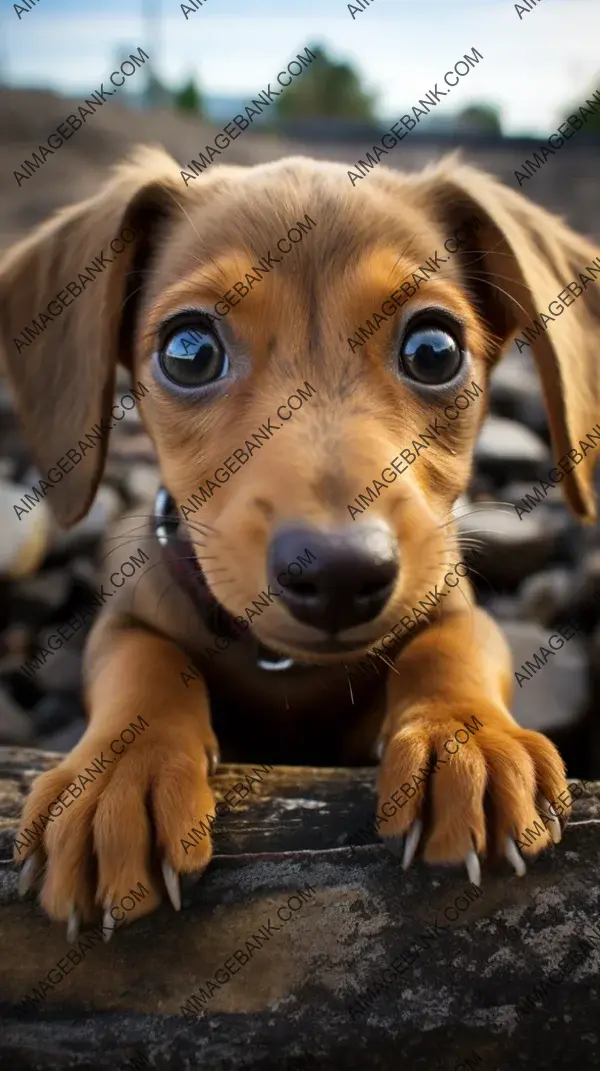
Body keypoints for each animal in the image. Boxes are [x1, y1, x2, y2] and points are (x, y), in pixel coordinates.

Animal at [2, 144, 595, 938]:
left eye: (434, 350)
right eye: (188, 351)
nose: (339, 573)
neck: (290, 668)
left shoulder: (449, 598)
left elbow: (455, 641)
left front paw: (464, 739)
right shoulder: (129, 615)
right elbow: (142, 660)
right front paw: (118, 780)